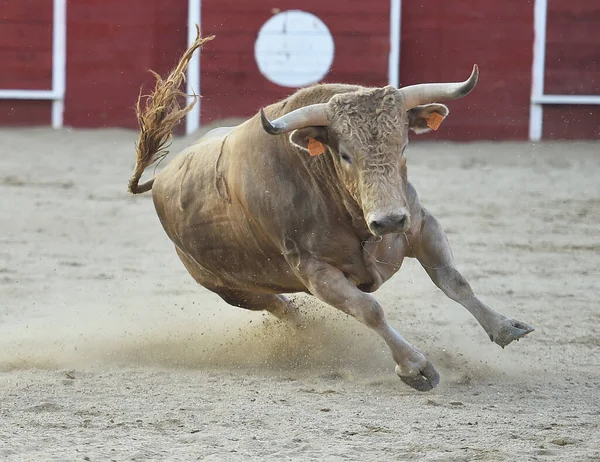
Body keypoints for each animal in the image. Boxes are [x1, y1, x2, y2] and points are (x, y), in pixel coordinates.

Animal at [129, 28, 532, 390]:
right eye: (345, 154)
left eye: (403, 146)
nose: (389, 220)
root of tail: (160, 178)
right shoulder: (315, 271)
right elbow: (370, 310)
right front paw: (415, 367)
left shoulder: (420, 224)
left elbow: (453, 280)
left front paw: (504, 327)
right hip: (232, 290)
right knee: (280, 307)